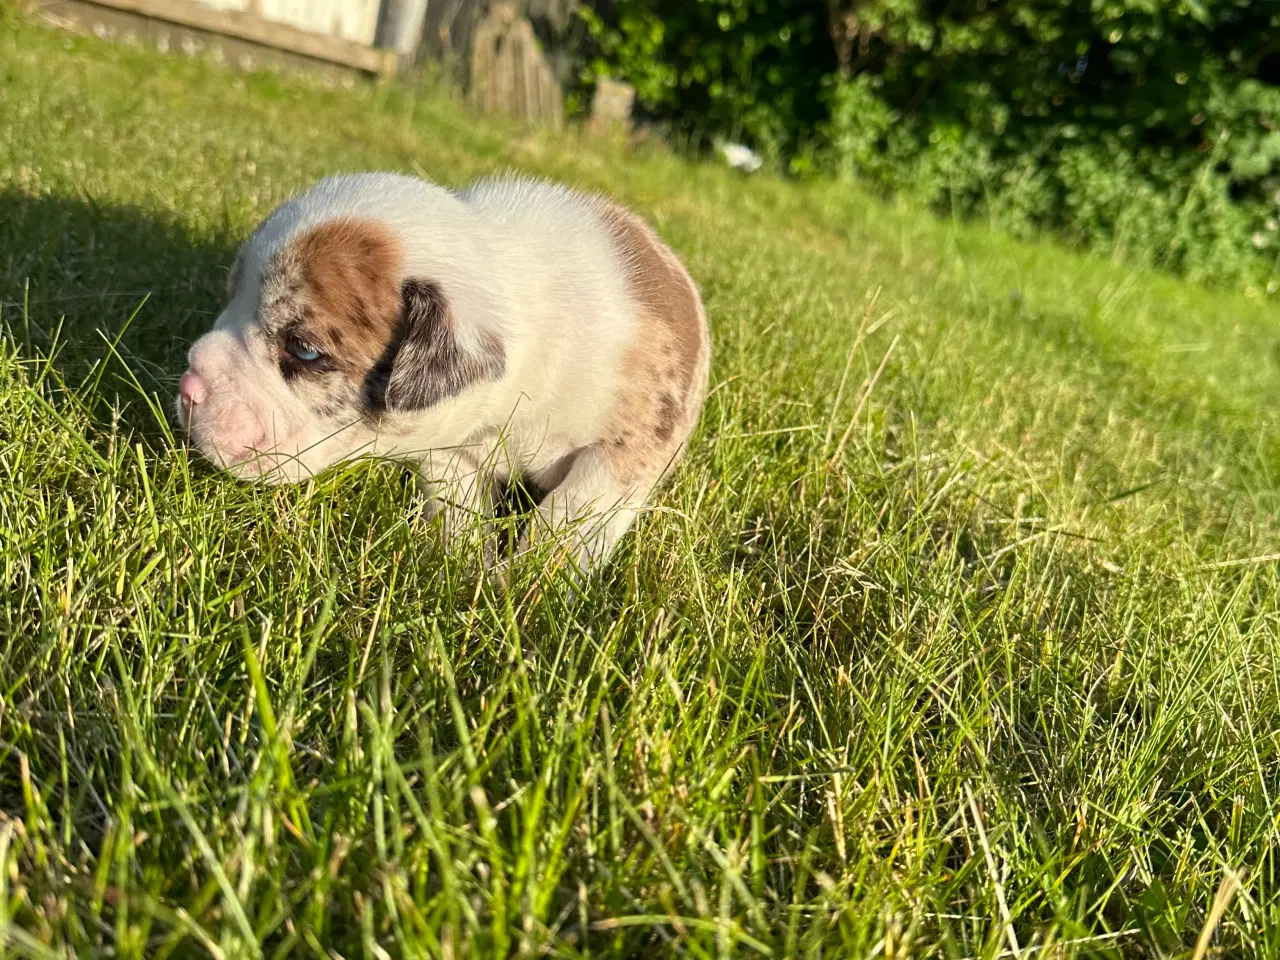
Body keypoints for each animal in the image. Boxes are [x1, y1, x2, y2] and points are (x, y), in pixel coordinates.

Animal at [175, 171, 711, 578]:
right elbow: (458, 510)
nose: (190, 387)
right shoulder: (450, 450)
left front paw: (523, 586)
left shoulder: (624, 455)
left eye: (304, 351)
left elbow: (568, 520)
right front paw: (466, 571)